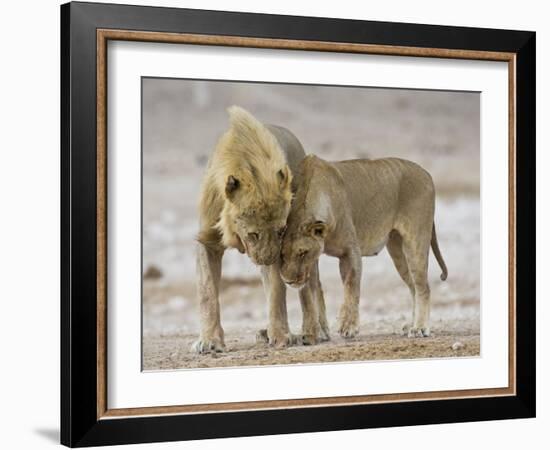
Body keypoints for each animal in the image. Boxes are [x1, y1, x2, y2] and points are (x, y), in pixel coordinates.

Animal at [196, 107, 330, 354]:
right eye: (253, 234)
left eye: (280, 231)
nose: (267, 259)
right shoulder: (208, 241)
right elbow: (207, 291)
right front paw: (209, 341)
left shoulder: (281, 247)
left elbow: (277, 293)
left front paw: (282, 336)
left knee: (311, 285)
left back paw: (315, 331)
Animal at [280, 154, 448, 338]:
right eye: (282, 255)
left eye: (302, 253)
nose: (288, 281)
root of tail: (426, 172)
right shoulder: (315, 258)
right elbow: (314, 289)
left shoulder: (351, 251)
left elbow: (351, 287)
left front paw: (348, 326)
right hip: (397, 250)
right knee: (413, 287)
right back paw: (411, 325)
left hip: (415, 240)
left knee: (423, 287)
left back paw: (420, 328)